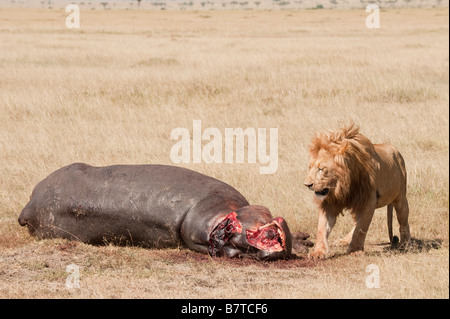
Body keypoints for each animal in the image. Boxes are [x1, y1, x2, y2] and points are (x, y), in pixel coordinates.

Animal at [302, 122, 412, 260]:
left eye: (321, 169)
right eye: (310, 168)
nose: (307, 184)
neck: (342, 186)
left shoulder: (368, 201)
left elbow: (361, 228)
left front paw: (355, 250)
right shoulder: (329, 203)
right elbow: (322, 228)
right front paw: (319, 252)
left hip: (400, 197)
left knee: (403, 221)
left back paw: (406, 243)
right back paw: (344, 240)